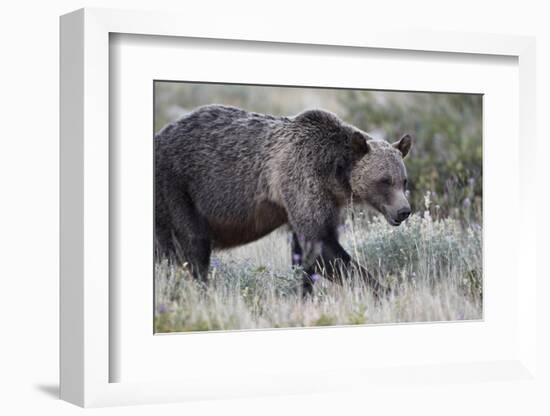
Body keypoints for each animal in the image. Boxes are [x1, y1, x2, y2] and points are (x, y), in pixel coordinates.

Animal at [155, 106, 414, 296]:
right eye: (384, 181)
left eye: (404, 181)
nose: (404, 211)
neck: (334, 173)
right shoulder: (301, 178)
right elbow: (320, 245)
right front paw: (386, 291)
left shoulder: (323, 201)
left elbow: (305, 253)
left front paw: (304, 293)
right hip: (177, 190)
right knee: (193, 246)